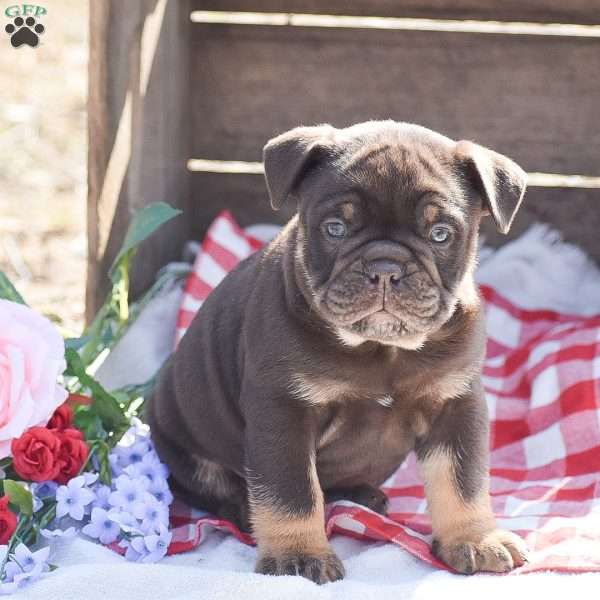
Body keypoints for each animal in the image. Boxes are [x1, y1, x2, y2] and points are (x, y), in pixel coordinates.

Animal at [148, 119, 528, 584]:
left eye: (440, 235)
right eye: (335, 229)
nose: (385, 268)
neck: (382, 349)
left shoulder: (455, 405)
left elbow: (463, 480)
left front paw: (474, 538)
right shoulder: (284, 411)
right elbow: (291, 490)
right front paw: (297, 555)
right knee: (218, 484)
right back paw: (243, 511)